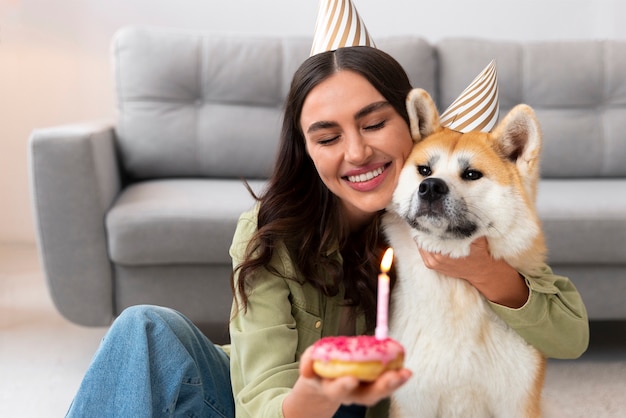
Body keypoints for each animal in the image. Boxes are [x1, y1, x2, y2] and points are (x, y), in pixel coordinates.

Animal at [386, 89, 544, 418]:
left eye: (472, 174)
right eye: (424, 170)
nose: (430, 187)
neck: (455, 294)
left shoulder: (516, 401)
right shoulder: (412, 400)